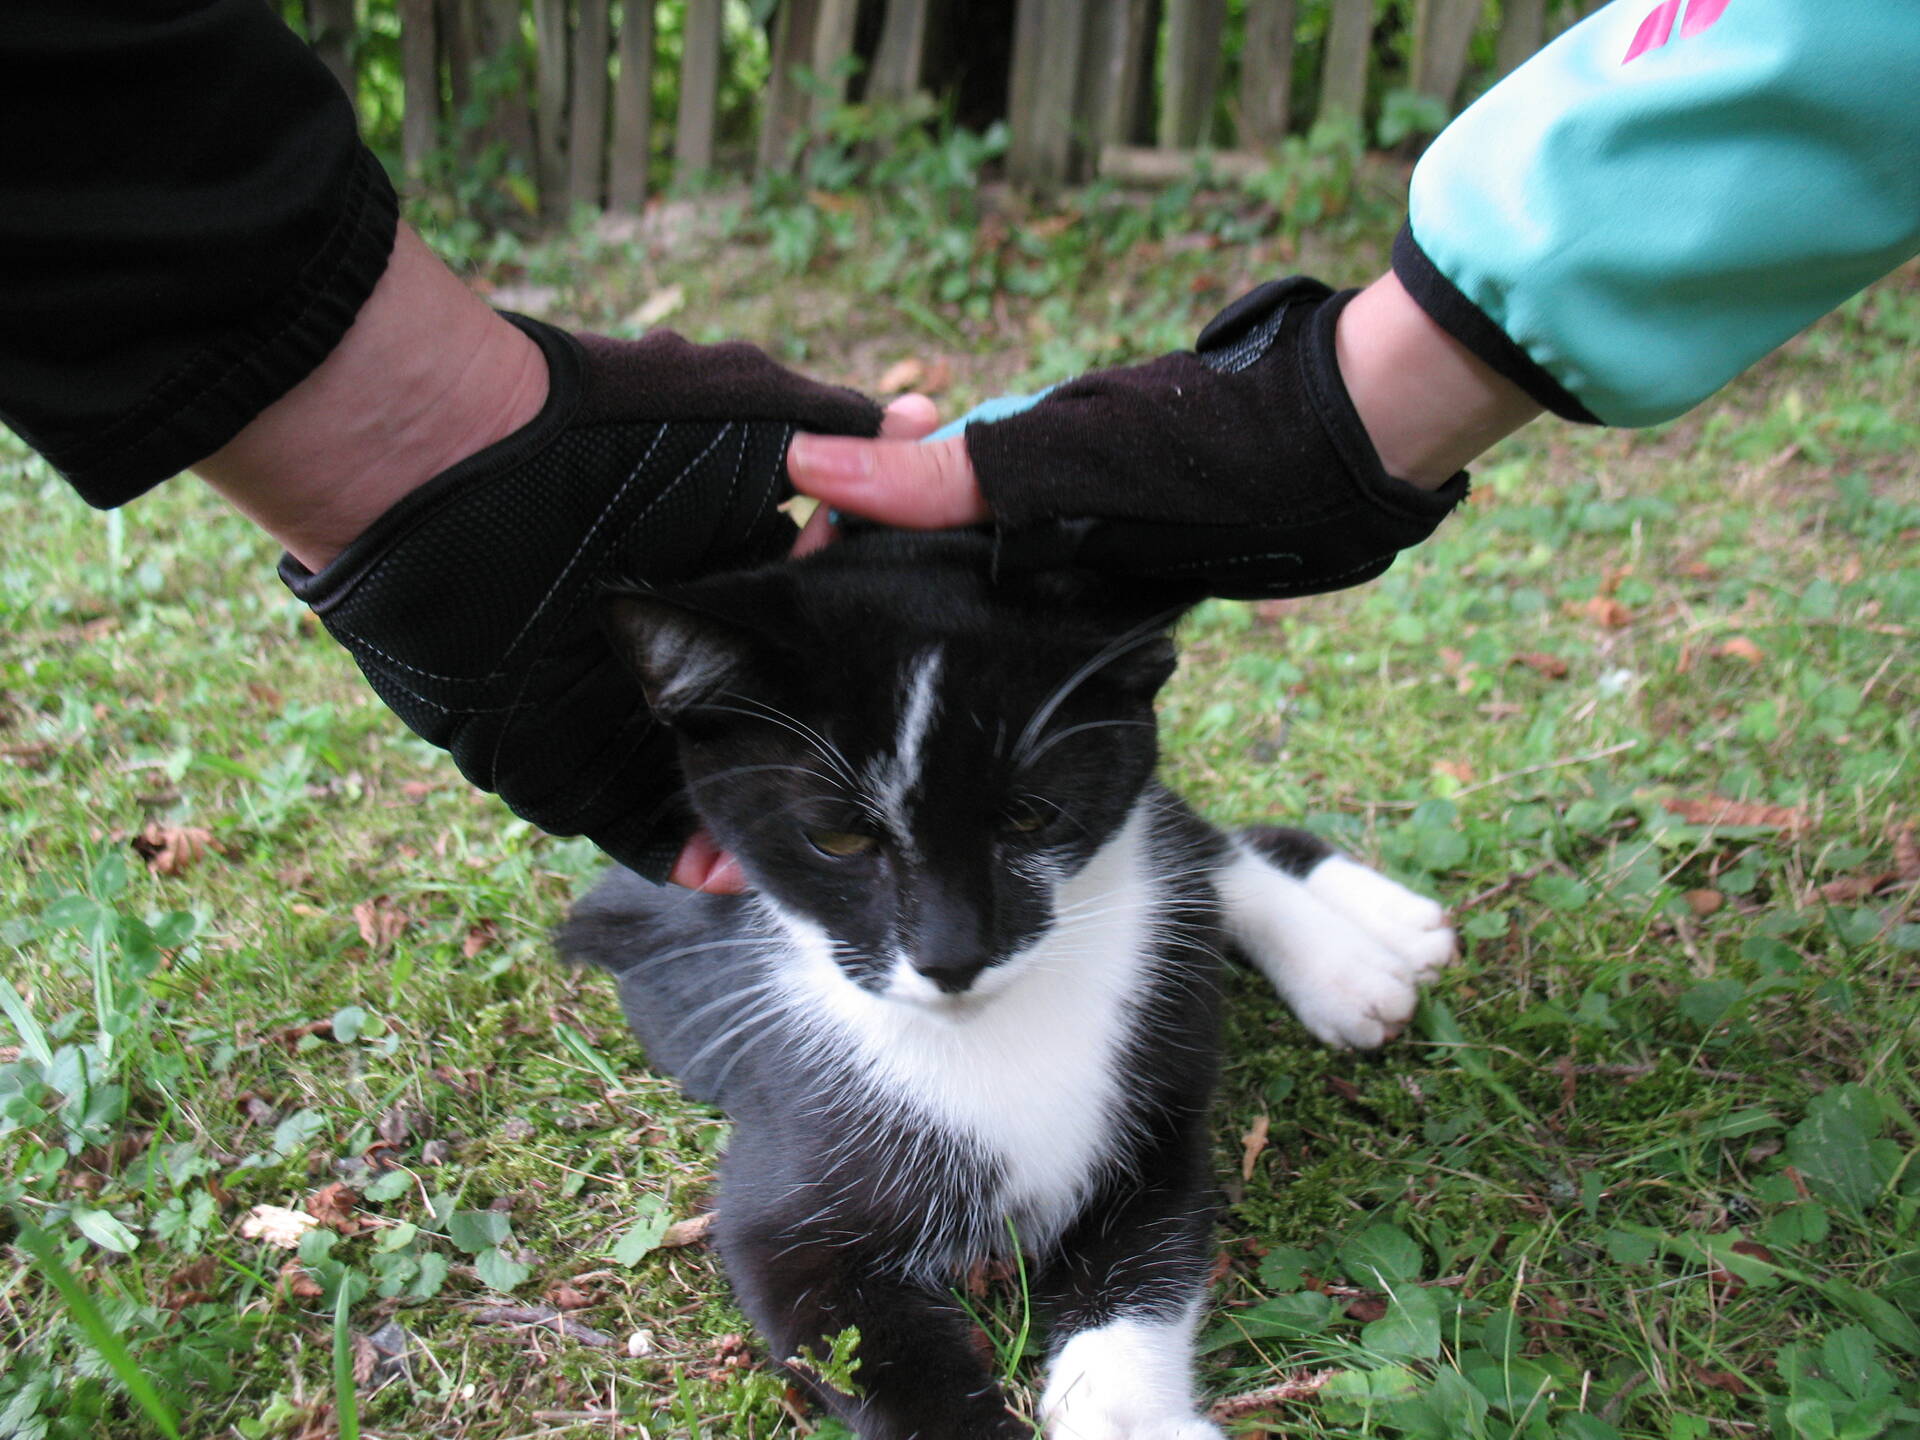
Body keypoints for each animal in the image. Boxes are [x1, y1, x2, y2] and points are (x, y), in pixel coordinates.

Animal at [556, 529, 1454, 1439]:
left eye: (1030, 816)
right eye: (837, 841)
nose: (951, 955)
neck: (994, 1028)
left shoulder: (1156, 1114)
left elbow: (1150, 1255)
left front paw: (1125, 1411)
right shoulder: (787, 1201)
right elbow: (846, 1330)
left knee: (1198, 838)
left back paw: (1362, 952)